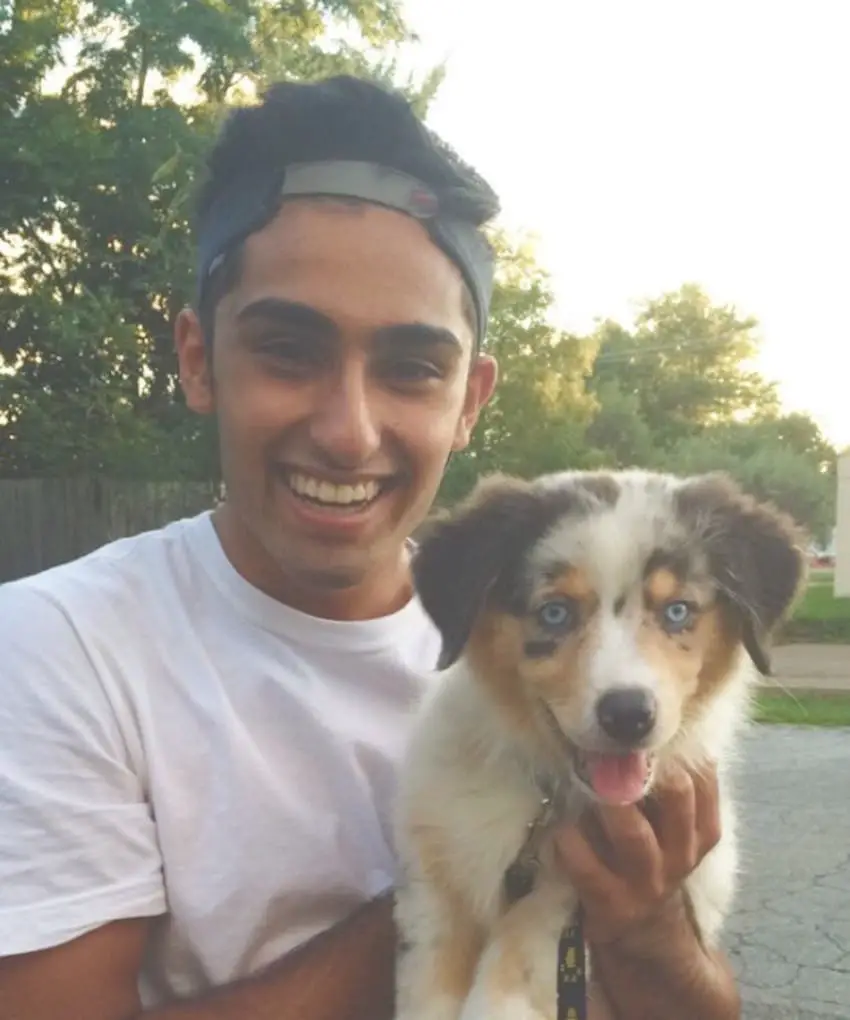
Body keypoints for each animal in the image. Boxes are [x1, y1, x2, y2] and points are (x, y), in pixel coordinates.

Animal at [391, 467, 804, 1020]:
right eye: (555, 613)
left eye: (677, 610)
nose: (628, 715)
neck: (544, 797)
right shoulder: (434, 884)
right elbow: (428, 985)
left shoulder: (567, 900)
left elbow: (510, 981)